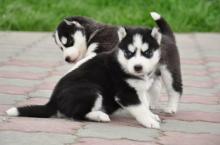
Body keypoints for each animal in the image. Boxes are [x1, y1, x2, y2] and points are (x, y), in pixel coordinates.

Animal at [6, 26, 162, 128]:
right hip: (91, 90)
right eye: (129, 53)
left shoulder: (138, 90)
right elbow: (139, 108)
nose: (138, 67)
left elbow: (144, 104)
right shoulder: (125, 93)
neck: (122, 63)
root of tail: (53, 101)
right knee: (76, 115)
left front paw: (151, 115)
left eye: (148, 53)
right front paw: (149, 121)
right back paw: (99, 116)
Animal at [54, 12, 183, 114]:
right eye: (61, 48)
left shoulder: (100, 49)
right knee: (155, 86)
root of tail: (167, 36)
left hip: (169, 70)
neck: (93, 34)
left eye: (69, 42)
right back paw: (151, 104)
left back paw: (171, 108)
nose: (67, 59)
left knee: (175, 89)